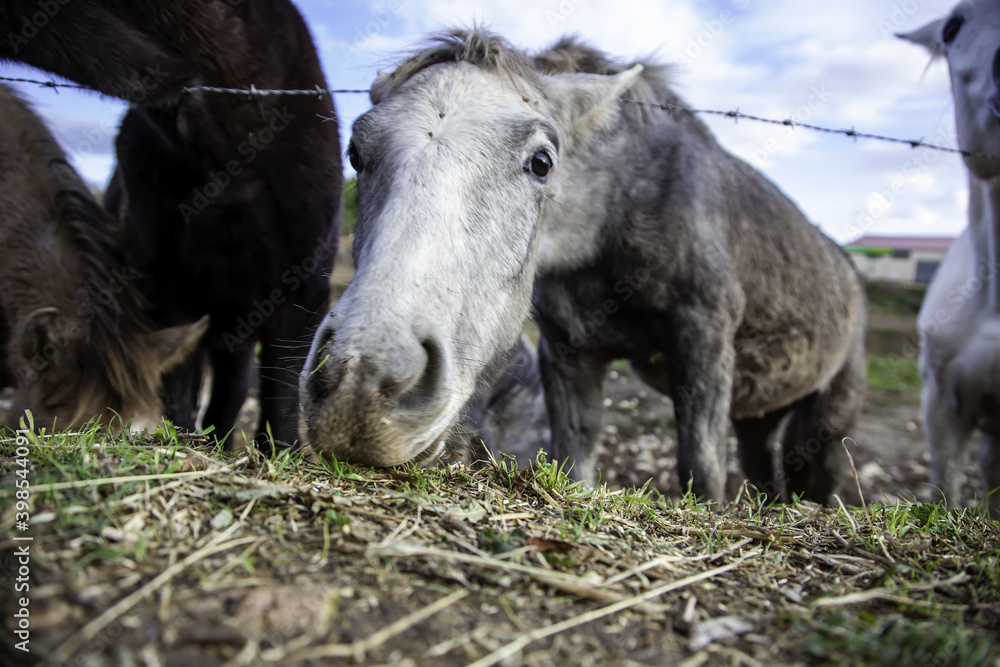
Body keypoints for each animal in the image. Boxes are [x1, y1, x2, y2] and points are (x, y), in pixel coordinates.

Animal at [298, 28, 868, 504]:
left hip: (829, 414)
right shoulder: (570, 352)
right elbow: (576, 461)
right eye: (355, 152)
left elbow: (702, 473)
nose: (360, 383)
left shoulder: (703, 339)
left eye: (541, 162)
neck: (613, 216)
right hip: (760, 416)